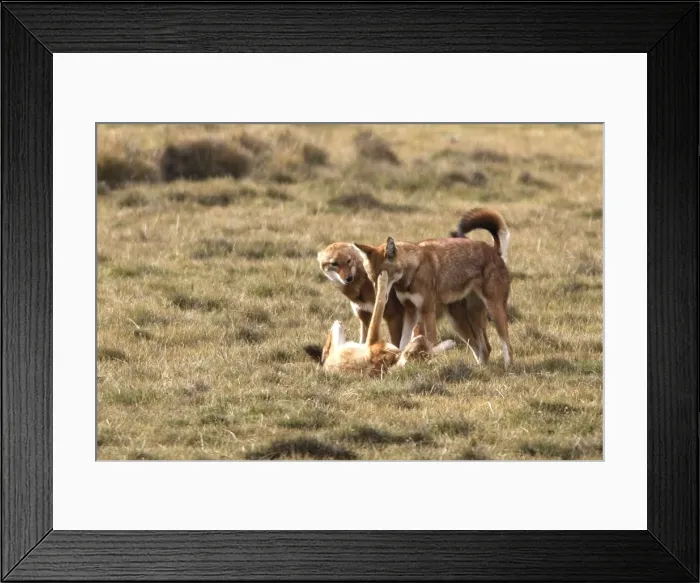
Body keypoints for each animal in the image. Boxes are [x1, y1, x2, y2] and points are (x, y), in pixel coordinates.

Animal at [318, 241, 491, 363]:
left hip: (459, 324)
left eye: (349, 261)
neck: (360, 289)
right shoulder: (365, 320)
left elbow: (397, 344)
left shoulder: (394, 318)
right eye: (334, 263)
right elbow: (363, 342)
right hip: (460, 327)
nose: (348, 278)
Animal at [354, 208, 513, 367]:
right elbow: (402, 343)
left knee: (507, 346)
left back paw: (507, 367)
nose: (378, 298)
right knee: (485, 348)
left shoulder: (427, 311)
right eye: (371, 278)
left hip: (494, 312)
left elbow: (430, 343)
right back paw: (481, 368)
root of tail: (494, 251)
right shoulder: (411, 313)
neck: (414, 269)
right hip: (463, 322)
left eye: (384, 277)